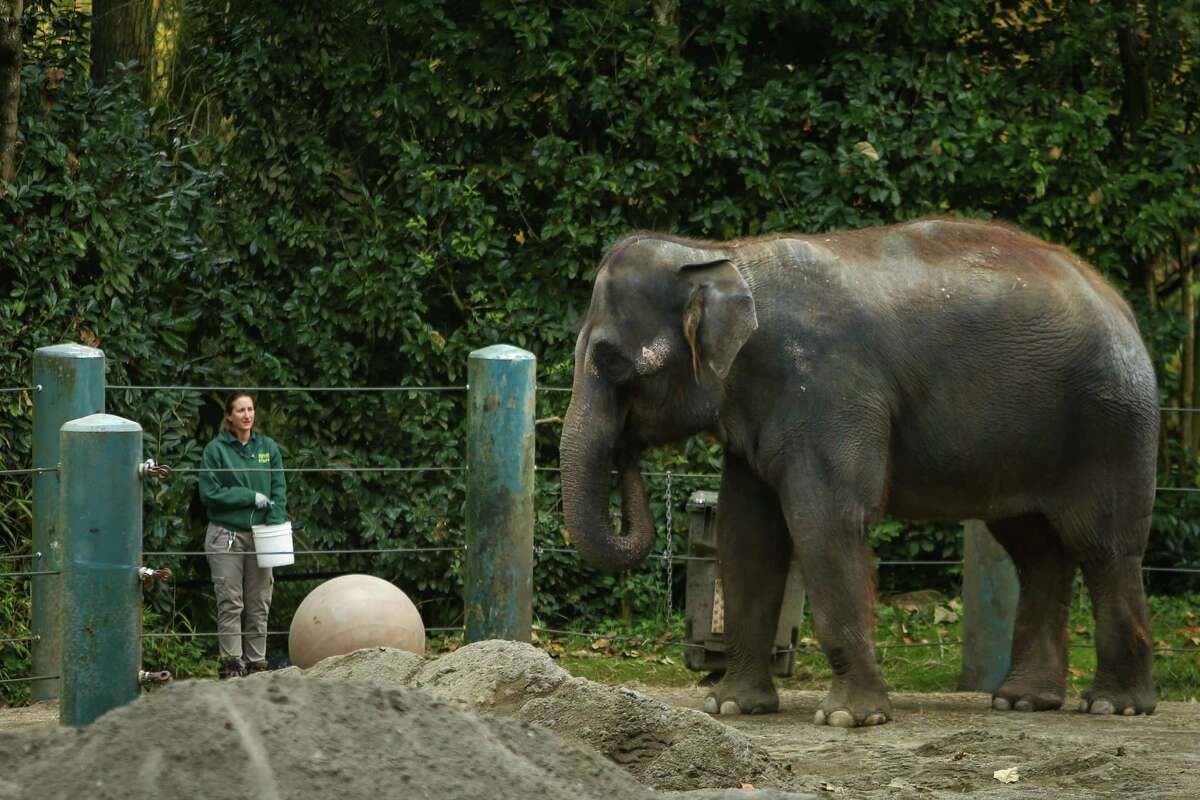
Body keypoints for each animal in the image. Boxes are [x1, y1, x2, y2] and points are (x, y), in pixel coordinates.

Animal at [558, 218, 1159, 728]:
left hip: (1110, 423)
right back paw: (1024, 701)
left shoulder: (830, 389)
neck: (721, 254)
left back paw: (1116, 706)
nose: (626, 450)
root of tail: (1121, 303)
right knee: (1035, 550)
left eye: (613, 362)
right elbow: (745, 534)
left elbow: (825, 521)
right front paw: (731, 707)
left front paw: (850, 718)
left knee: (1103, 545)